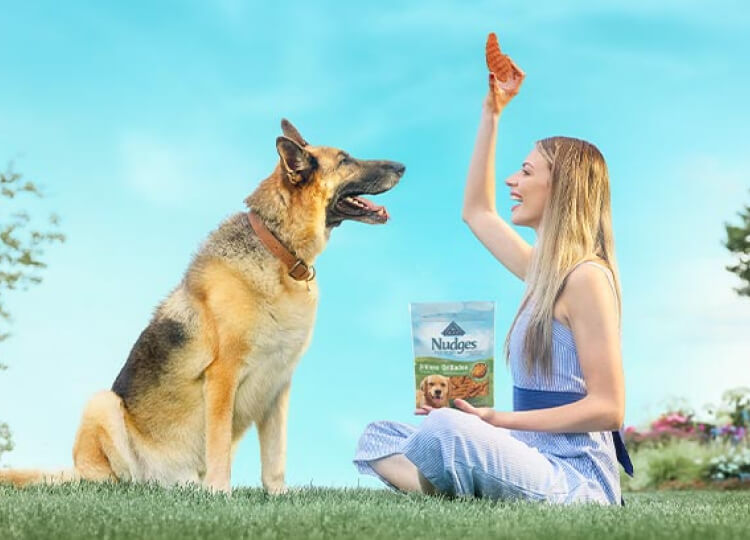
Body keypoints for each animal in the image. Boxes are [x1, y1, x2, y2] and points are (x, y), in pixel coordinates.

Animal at [0, 120, 406, 496]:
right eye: (345, 160)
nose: (403, 166)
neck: (278, 249)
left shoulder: (278, 386)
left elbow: (275, 456)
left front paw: (278, 496)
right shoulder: (223, 376)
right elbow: (220, 444)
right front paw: (220, 494)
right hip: (102, 404)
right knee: (115, 480)